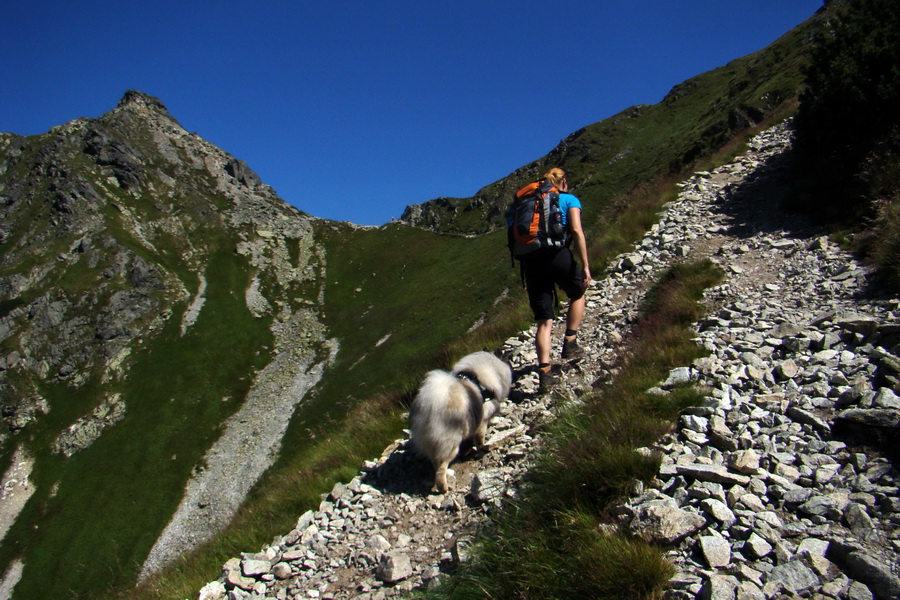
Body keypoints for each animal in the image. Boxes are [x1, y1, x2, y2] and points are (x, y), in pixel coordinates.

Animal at [410, 352, 510, 492]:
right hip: (451, 444)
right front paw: (483, 447)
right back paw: (444, 487)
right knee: (440, 468)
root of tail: (427, 410)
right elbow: (480, 439)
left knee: (436, 464)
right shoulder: (482, 421)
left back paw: (448, 473)